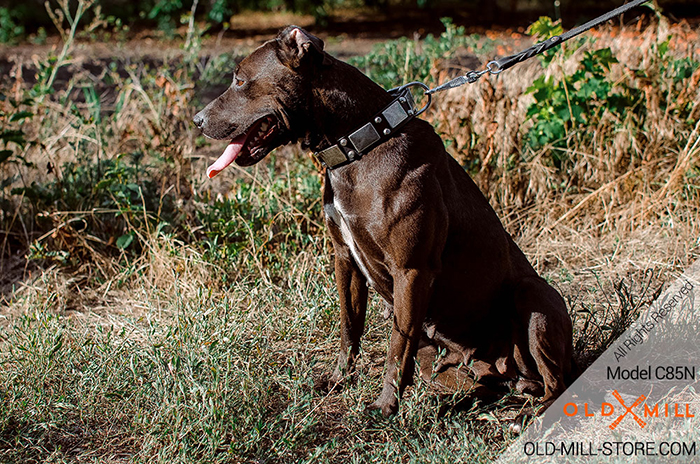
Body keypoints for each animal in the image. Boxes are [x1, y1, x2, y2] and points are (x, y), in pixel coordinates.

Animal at [193, 25, 576, 416]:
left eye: (240, 80)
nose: (197, 121)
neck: (358, 145)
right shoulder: (345, 259)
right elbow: (350, 327)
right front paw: (339, 380)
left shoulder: (411, 271)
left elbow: (397, 345)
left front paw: (385, 406)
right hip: (458, 364)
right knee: (481, 383)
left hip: (533, 296)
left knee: (555, 382)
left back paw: (530, 412)